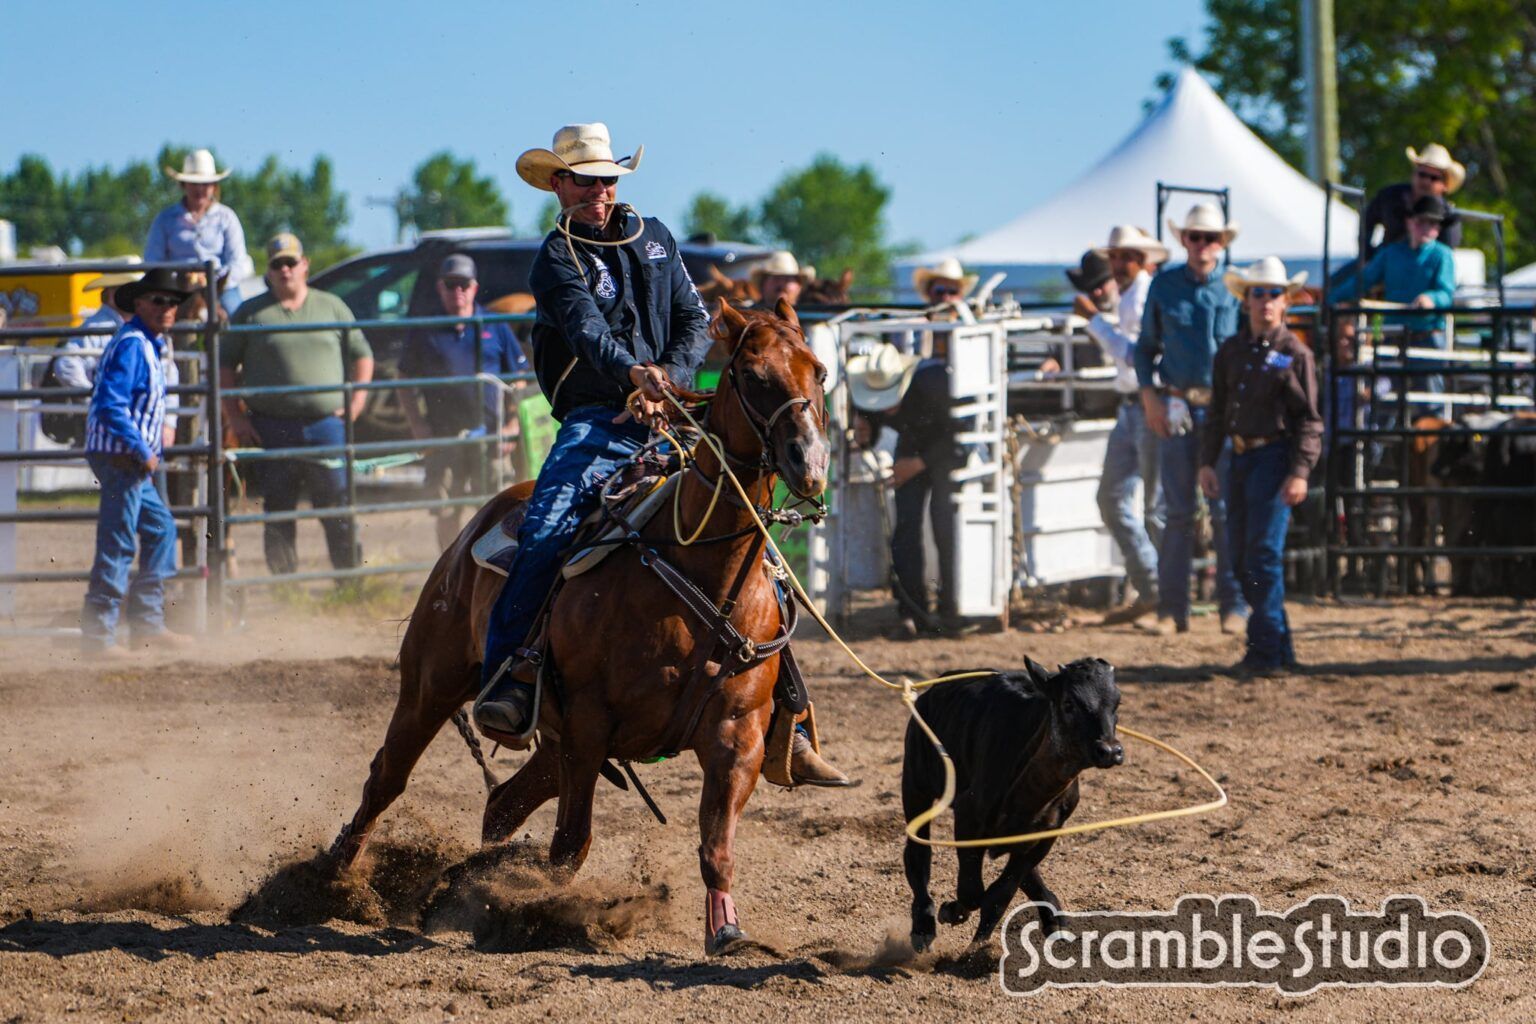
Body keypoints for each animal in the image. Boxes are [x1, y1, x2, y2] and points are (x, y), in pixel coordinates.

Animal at [902, 657, 1123, 952]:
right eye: (1069, 703)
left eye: (1116, 703)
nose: (1110, 751)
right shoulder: (967, 818)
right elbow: (972, 891)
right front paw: (954, 913)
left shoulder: (1046, 835)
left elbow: (1001, 893)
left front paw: (977, 942)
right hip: (916, 787)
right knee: (917, 855)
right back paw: (923, 926)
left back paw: (1054, 917)